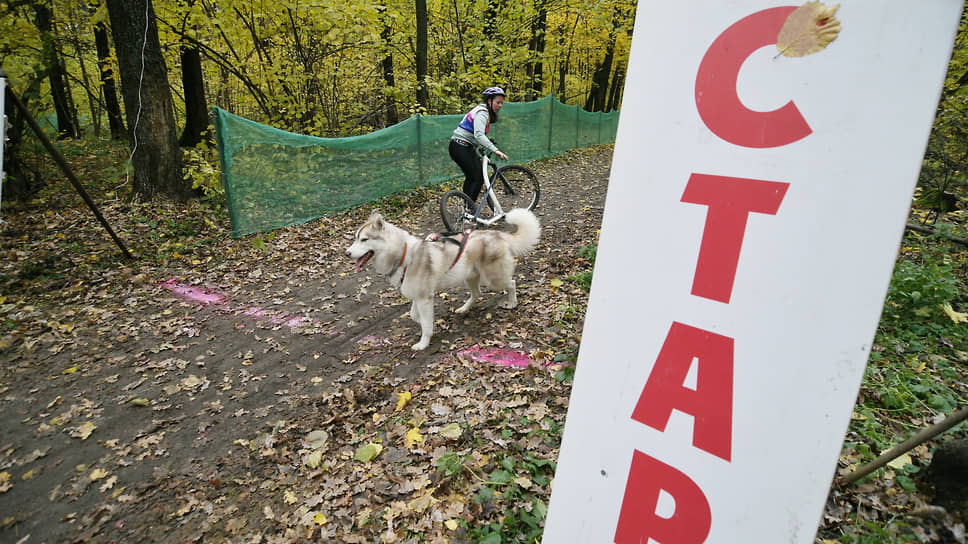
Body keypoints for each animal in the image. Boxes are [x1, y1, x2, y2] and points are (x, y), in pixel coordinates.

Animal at [344, 210, 540, 350]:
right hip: (469, 277)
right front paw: (427, 324)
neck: (403, 255)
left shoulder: (424, 298)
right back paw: (464, 308)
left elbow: (425, 325)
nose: (346, 253)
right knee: (477, 293)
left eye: (364, 239)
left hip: (494, 278)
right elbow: (415, 316)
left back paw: (512, 302)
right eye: (355, 239)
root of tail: (498, 234)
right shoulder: (418, 297)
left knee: (511, 283)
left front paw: (423, 343)